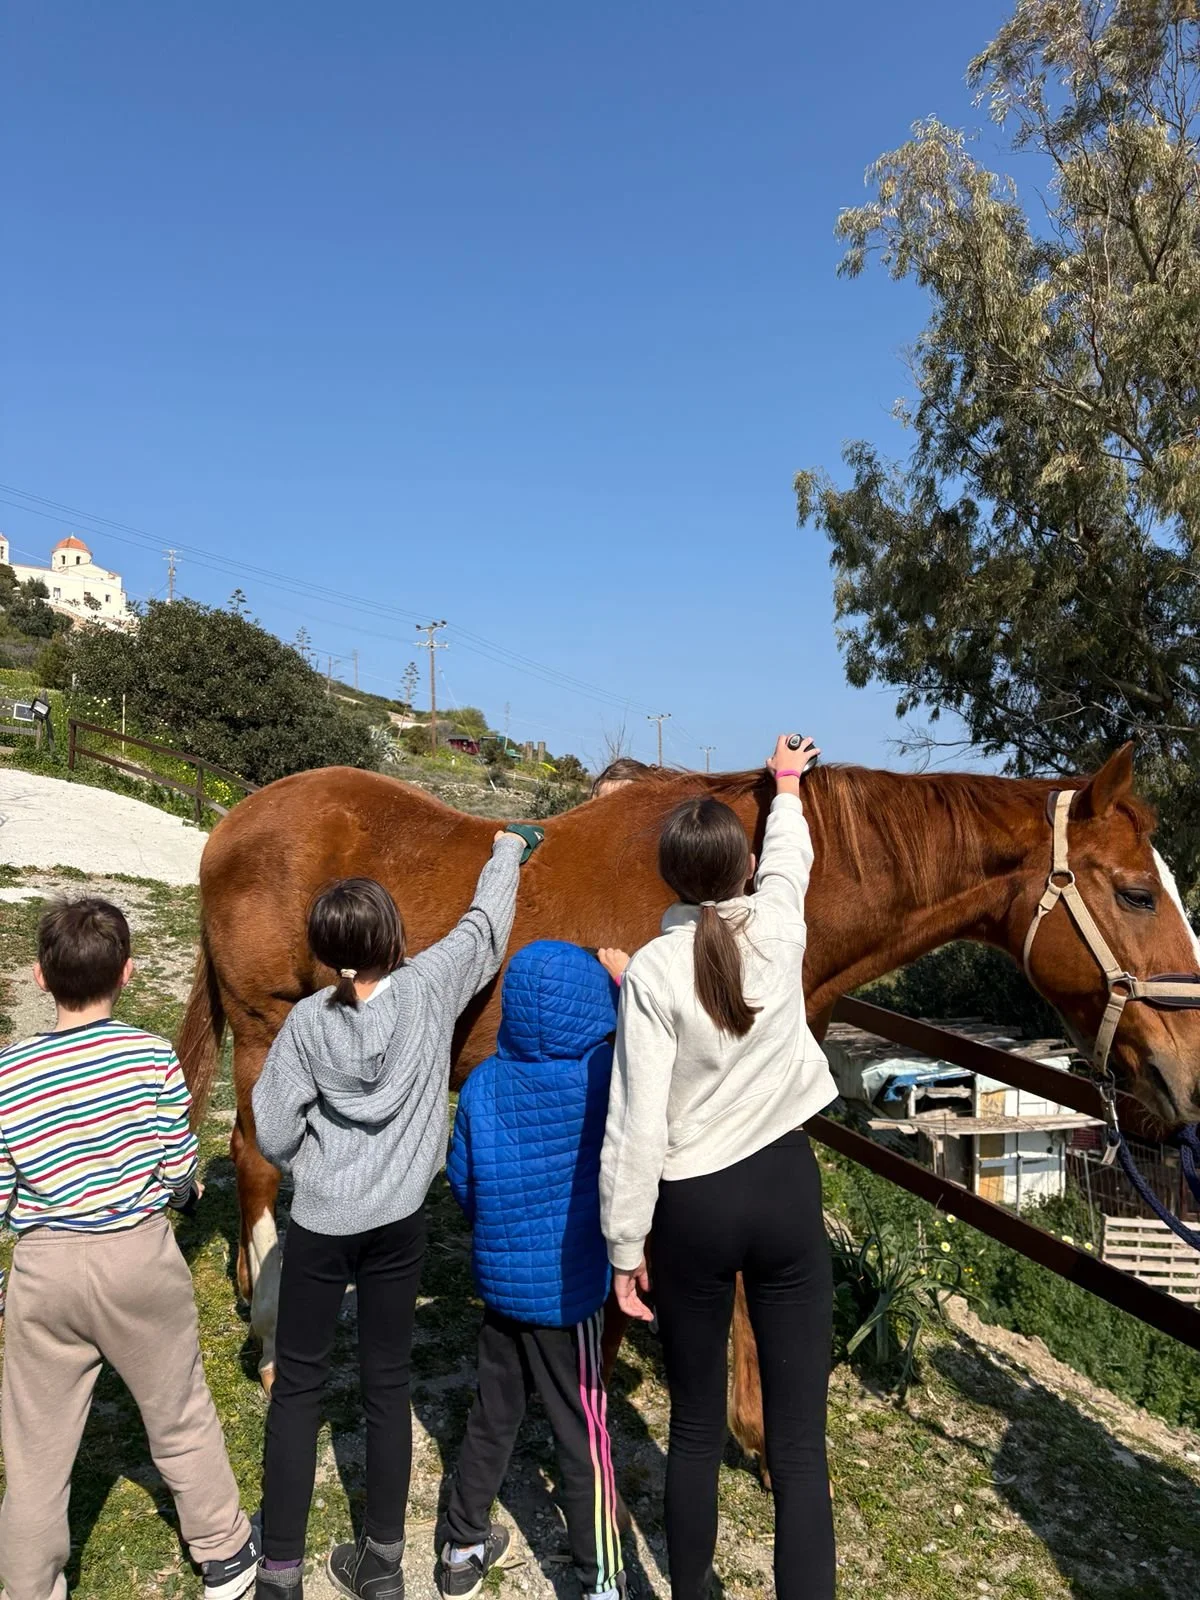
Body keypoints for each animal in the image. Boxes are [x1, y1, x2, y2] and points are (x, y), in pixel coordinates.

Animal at [177, 743, 1200, 1464]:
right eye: (1137, 894)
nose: (1183, 1080)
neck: (742, 907)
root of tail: (236, 824)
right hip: (269, 1030)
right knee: (257, 1159)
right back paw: (269, 1335)